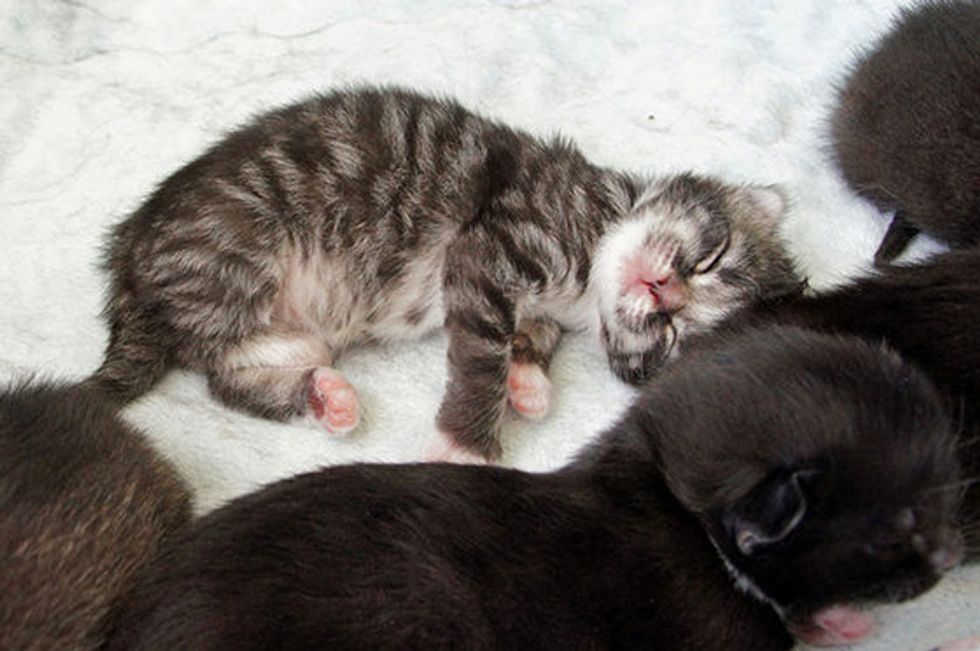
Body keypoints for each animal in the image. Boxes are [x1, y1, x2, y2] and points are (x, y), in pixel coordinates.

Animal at [89, 85, 802, 462]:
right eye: (710, 258)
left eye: (674, 335)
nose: (663, 291)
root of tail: (128, 256)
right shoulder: (490, 249)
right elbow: (480, 358)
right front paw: (467, 445)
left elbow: (529, 338)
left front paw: (529, 381)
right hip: (236, 250)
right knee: (212, 349)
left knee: (225, 375)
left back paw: (325, 392)